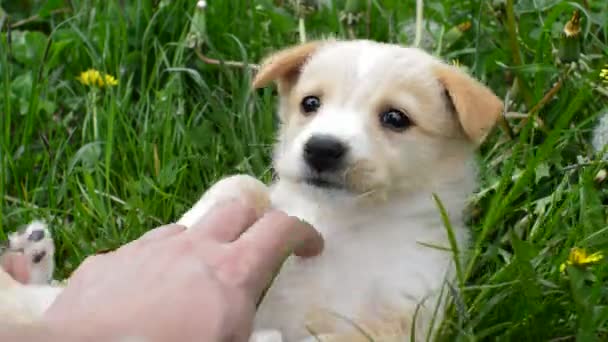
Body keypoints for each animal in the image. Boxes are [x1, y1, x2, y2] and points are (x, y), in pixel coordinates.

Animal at [179, 38, 504, 340]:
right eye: (310, 103)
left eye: (395, 118)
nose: (321, 148)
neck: (344, 222)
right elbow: (241, 182)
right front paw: (192, 226)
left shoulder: (407, 314)